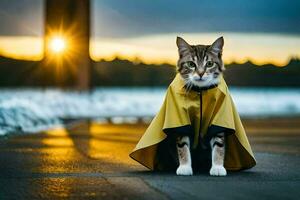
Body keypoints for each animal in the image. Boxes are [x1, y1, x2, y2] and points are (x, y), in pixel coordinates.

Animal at [175, 36, 226, 177]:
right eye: (191, 64)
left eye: (209, 64)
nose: (201, 73)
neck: (201, 90)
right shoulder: (181, 120)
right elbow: (182, 145)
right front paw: (184, 167)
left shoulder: (218, 118)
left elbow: (219, 144)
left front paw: (218, 167)